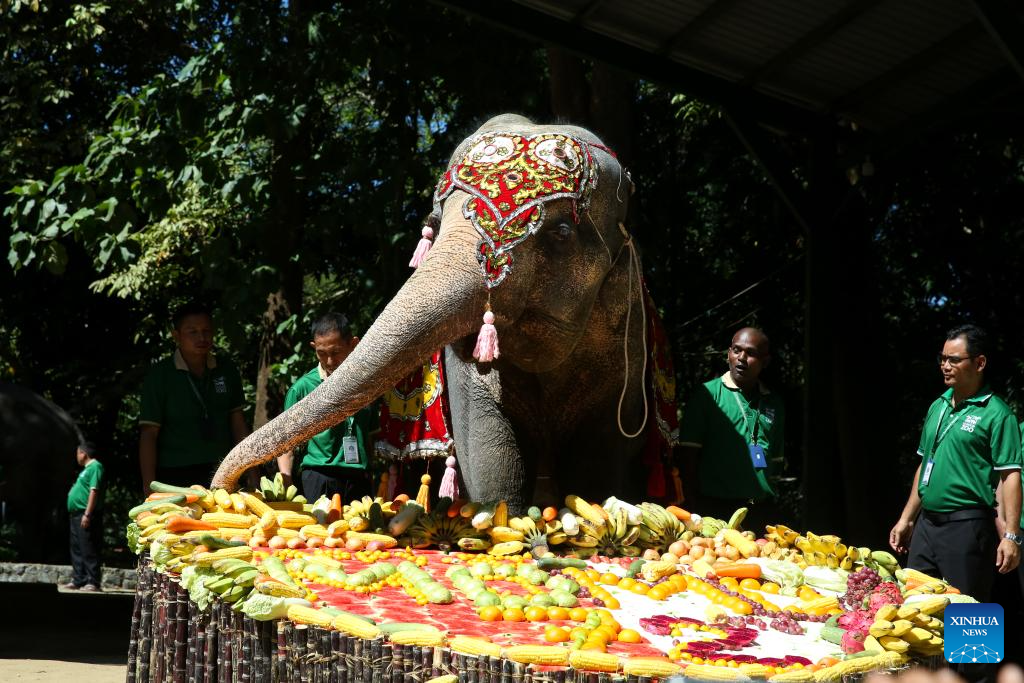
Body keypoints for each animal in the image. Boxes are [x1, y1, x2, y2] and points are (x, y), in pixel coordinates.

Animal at [213, 114, 675, 511]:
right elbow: (488, 452)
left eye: (561, 233)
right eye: (433, 222)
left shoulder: (622, 340)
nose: (228, 487)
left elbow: (600, 462)